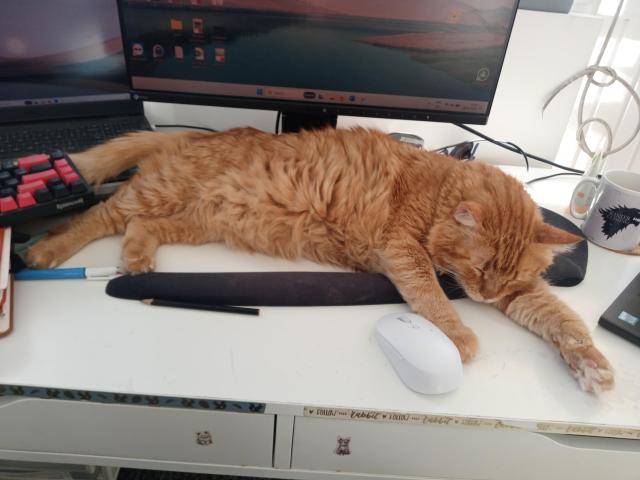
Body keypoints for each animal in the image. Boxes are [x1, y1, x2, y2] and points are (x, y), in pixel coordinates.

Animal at [27, 126, 612, 390]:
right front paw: (460, 334)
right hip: (159, 195)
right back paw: (44, 250)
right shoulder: (402, 249)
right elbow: (430, 294)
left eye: (504, 279)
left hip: (198, 219)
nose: (486, 297)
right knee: (98, 218)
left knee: (140, 228)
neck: (438, 188)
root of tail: (191, 133)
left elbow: (562, 320)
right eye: (480, 270)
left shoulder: (524, 295)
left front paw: (591, 364)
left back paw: (137, 260)